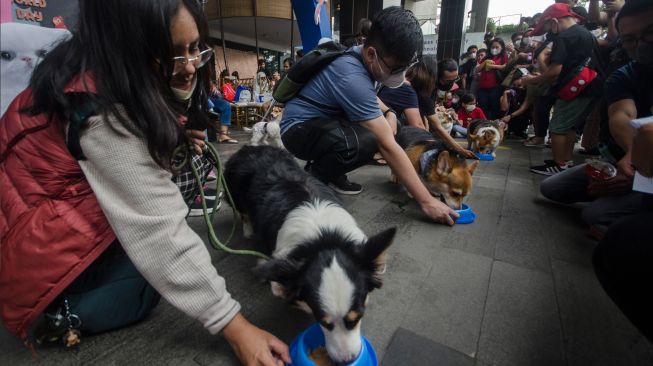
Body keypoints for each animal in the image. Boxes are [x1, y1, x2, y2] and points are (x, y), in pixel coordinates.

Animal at [224, 144, 398, 362]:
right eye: (322, 322)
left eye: (358, 317)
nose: (348, 360)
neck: (323, 237)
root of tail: (251, 147)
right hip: (235, 194)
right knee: (244, 213)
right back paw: (248, 231)